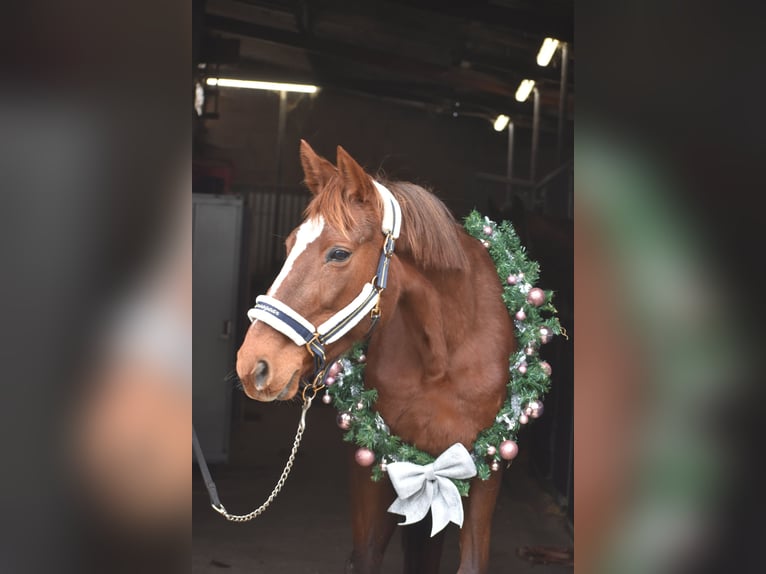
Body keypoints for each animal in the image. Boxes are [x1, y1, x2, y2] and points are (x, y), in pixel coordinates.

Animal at [236, 141, 516, 574]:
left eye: (338, 253)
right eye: (288, 245)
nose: (253, 365)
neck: (442, 359)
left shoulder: (488, 469)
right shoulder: (374, 463)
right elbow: (367, 554)